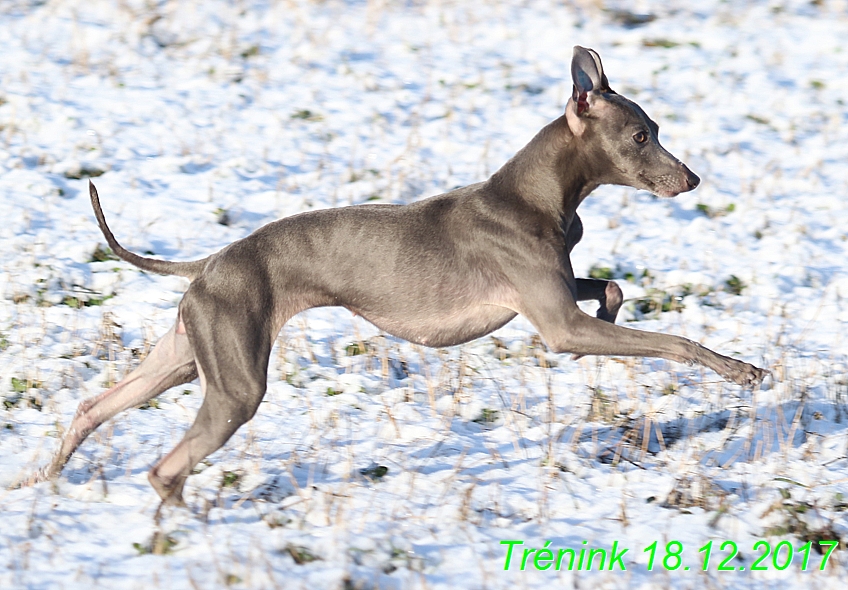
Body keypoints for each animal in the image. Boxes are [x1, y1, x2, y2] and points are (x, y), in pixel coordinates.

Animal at [28, 48, 768, 506]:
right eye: (641, 136)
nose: (691, 179)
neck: (537, 192)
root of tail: (211, 261)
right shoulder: (558, 325)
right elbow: (673, 341)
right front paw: (743, 371)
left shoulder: (557, 297)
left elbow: (609, 287)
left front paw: (618, 306)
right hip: (235, 385)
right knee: (165, 467)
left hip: (186, 357)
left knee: (94, 406)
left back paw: (48, 477)